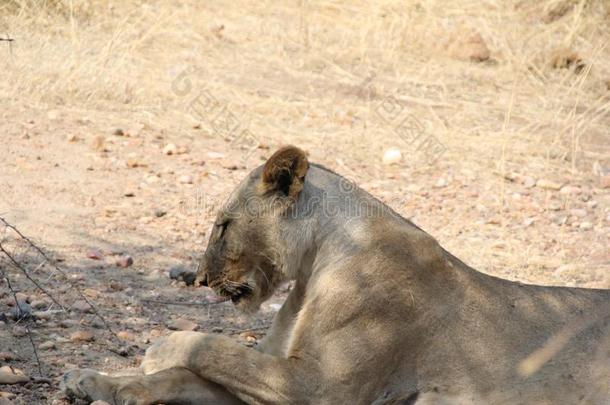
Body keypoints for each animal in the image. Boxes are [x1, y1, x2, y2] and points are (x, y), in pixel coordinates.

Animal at [63, 144, 608, 400]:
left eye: (222, 226)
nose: (198, 278)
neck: (313, 266)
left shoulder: (317, 386)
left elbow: (206, 347)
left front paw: (153, 351)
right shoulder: (279, 370)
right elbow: (192, 373)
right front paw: (95, 382)